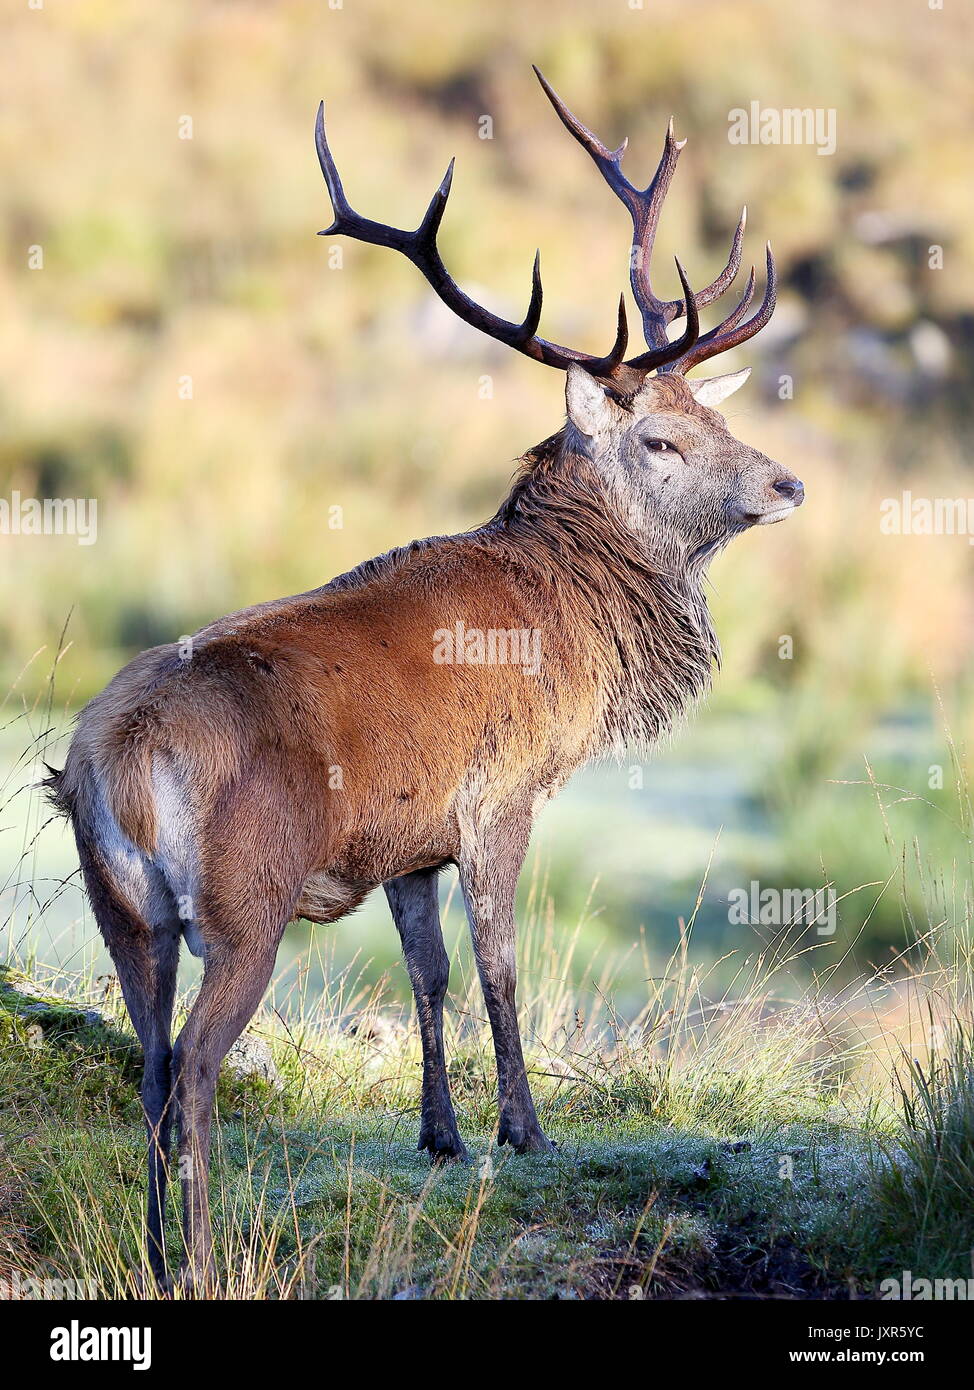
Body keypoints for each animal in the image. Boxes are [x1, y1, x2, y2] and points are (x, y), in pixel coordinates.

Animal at [45, 67, 800, 1289]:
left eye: (711, 411)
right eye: (661, 442)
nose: (786, 484)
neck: (569, 623)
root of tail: (113, 759)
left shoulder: (405, 837)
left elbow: (427, 972)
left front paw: (440, 1133)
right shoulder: (502, 791)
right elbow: (498, 963)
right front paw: (525, 1129)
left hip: (122, 911)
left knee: (149, 1066)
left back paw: (156, 1252)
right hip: (245, 902)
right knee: (196, 1066)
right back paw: (202, 1256)